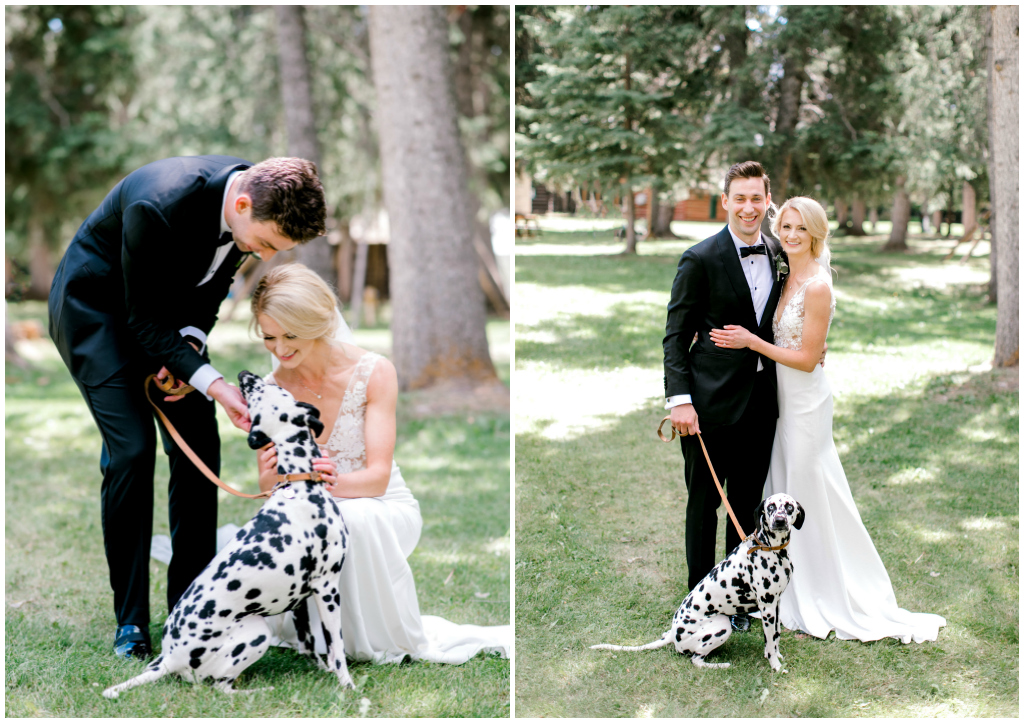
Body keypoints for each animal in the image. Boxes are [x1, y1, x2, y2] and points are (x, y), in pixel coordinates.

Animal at [103, 368, 352, 696]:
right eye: (259, 390)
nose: (245, 374)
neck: (299, 485)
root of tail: (169, 658)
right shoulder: (327, 589)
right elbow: (336, 647)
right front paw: (347, 684)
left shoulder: (300, 600)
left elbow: (310, 645)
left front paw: (323, 671)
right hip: (257, 632)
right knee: (221, 688)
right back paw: (258, 692)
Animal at [598, 489, 802, 671]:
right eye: (771, 507)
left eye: (789, 507)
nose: (779, 521)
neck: (771, 549)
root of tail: (673, 634)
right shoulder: (767, 607)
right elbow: (770, 640)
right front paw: (775, 665)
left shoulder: (775, 604)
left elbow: (775, 636)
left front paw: (776, 655)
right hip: (722, 626)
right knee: (696, 660)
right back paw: (721, 665)